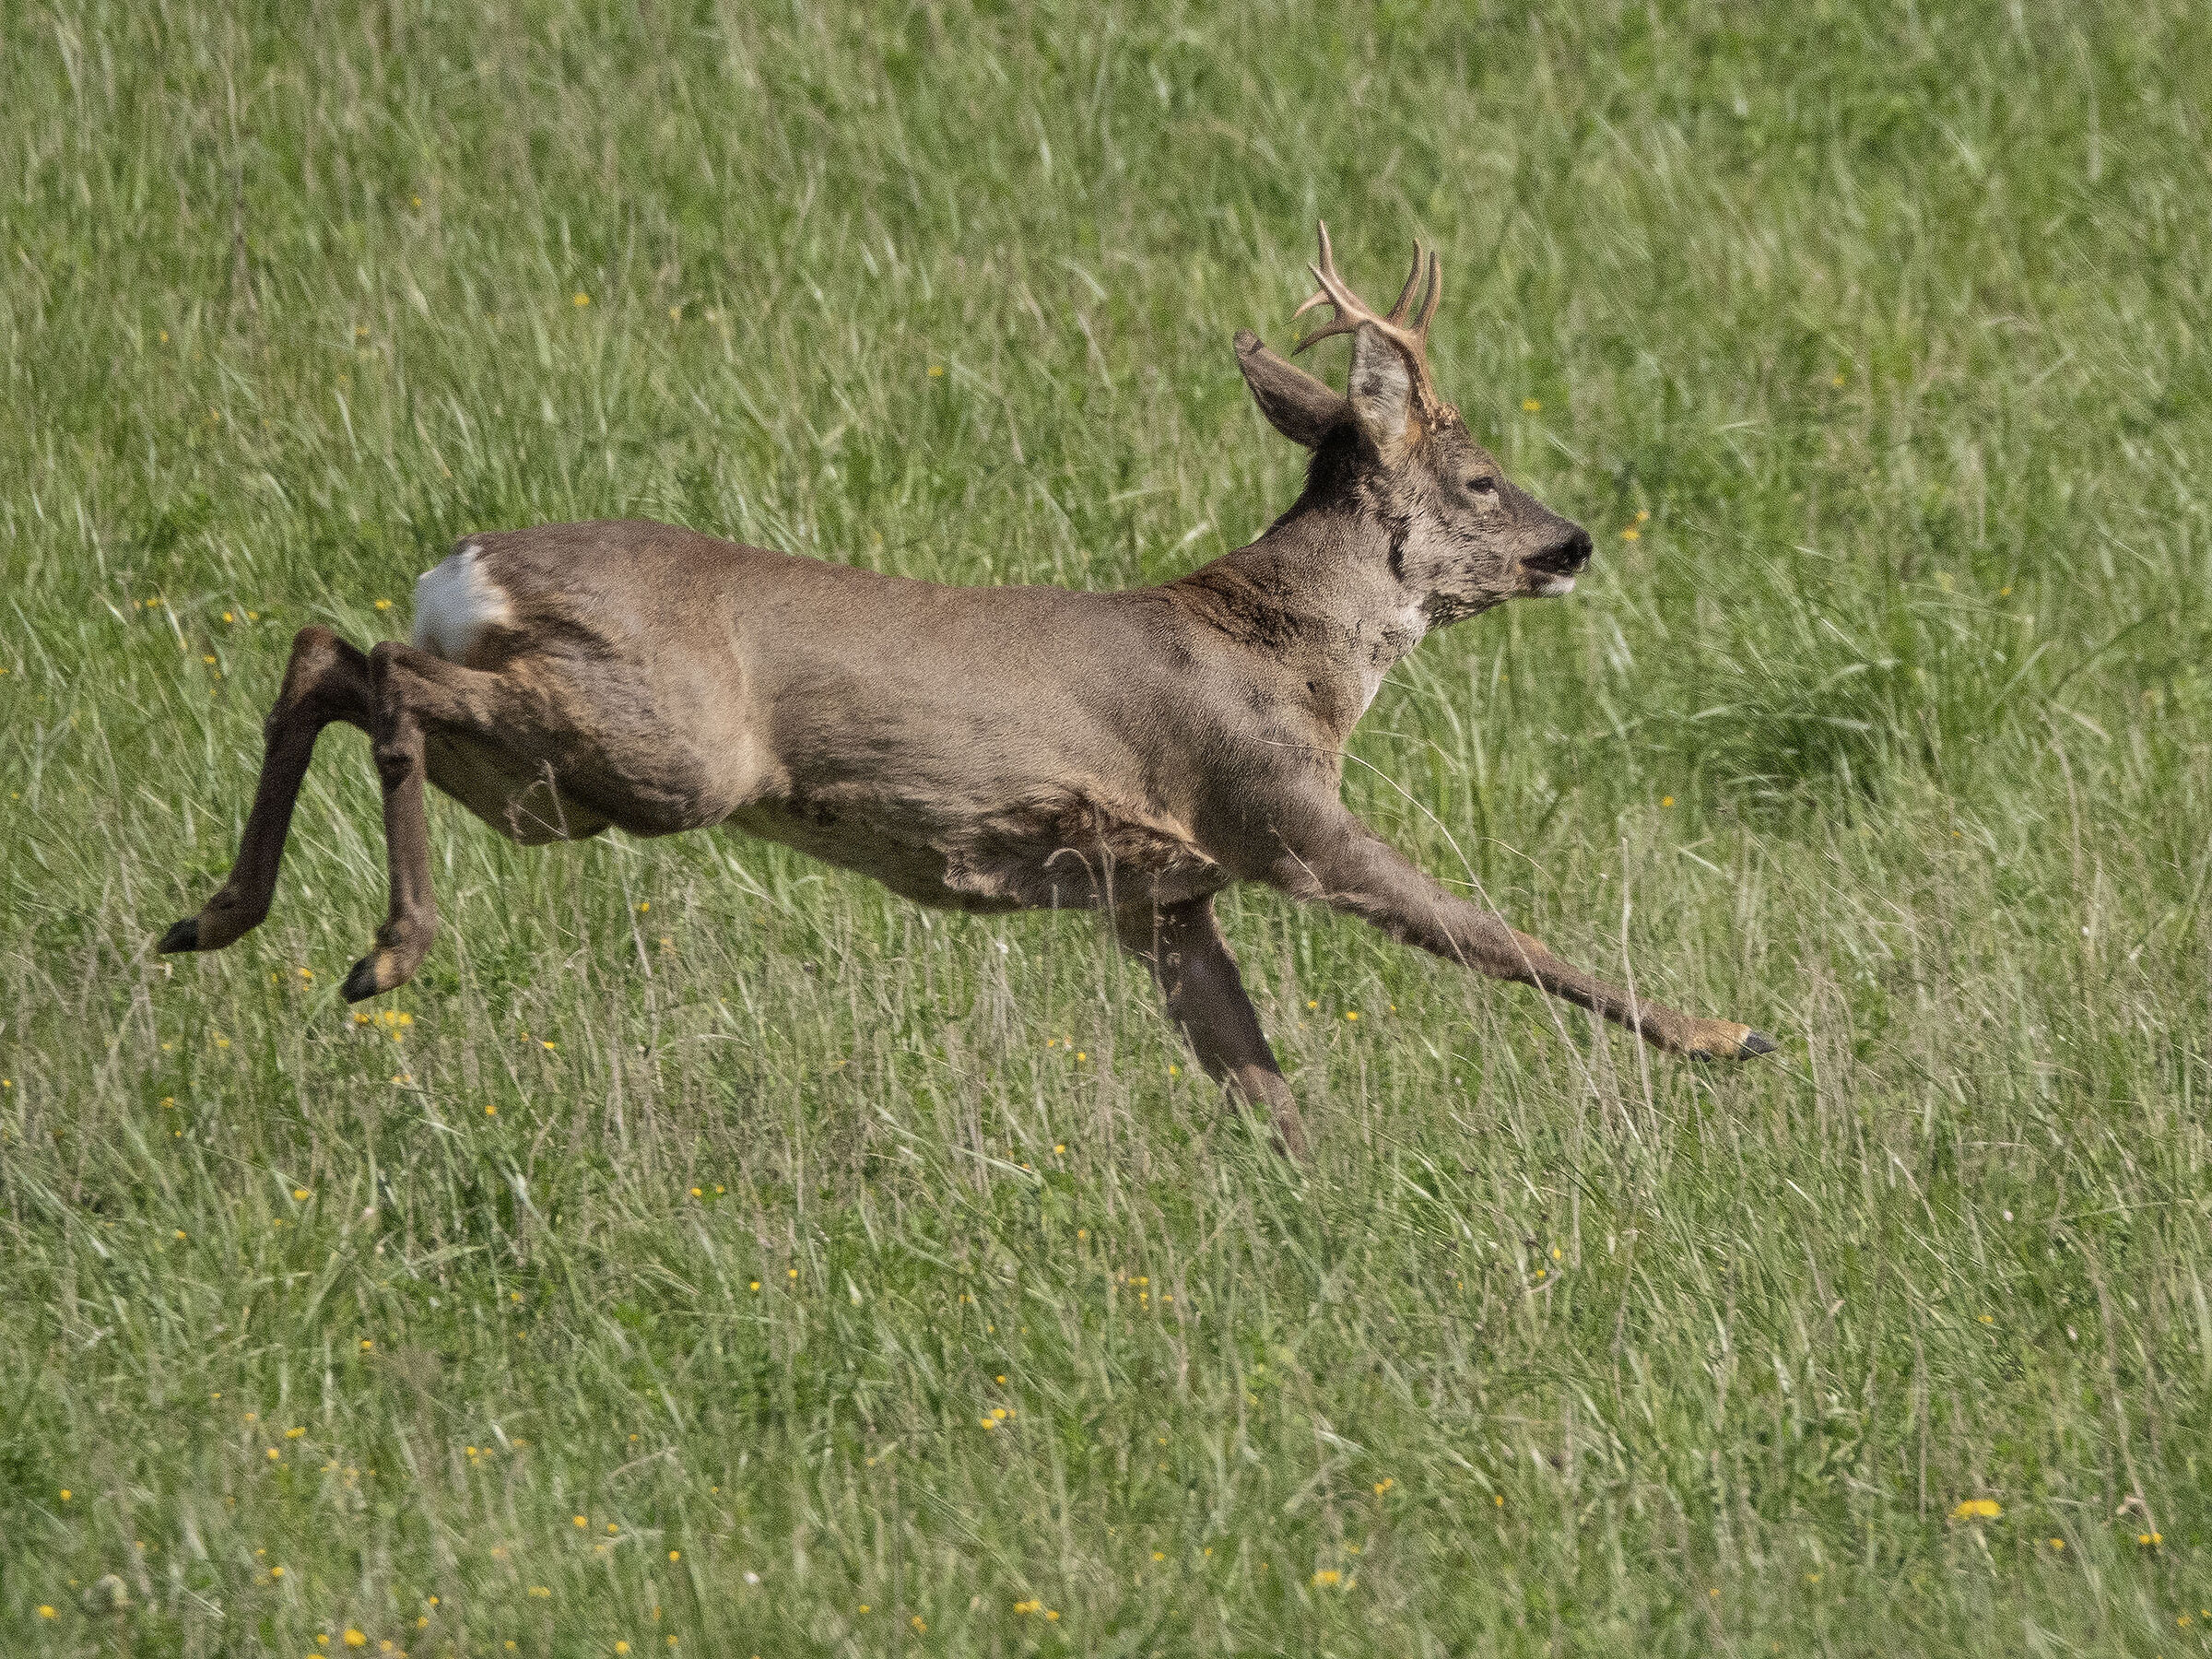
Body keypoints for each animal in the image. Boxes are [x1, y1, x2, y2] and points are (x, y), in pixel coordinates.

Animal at [157, 223, 1774, 1158]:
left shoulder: (1160, 896)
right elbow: (1492, 935)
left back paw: (212, 919)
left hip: (560, 784)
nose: (1575, 543)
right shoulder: (1274, 812)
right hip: (661, 751)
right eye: (1482, 476)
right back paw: (382, 951)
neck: (1290, 659)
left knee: (329, 655)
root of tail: (466, 565)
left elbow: (1258, 1082)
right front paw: (1725, 1038)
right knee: (385, 673)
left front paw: (1318, 1204)